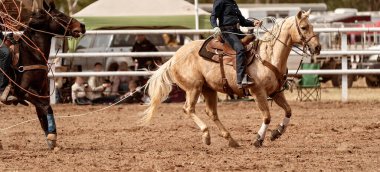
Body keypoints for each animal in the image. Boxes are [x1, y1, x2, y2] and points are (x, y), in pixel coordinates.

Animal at [5, 0, 84, 149]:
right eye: (60, 14)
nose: (82, 25)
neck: (30, 54)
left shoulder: (41, 92)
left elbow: (43, 113)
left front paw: (51, 139)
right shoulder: (25, 92)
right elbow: (46, 108)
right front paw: (52, 136)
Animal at [142, 10, 320, 148]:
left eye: (311, 26)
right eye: (304, 27)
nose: (317, 47)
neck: (267, 56)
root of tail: (174, 58)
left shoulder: (276, 92)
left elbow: (289, 111)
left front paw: (277, 133)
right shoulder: (258, 92)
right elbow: (267, 116)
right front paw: (258, 139)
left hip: (209, 89)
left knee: (211, 113)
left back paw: (231, 140)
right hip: (194, 88)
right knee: (189, 109)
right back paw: (206, 135)